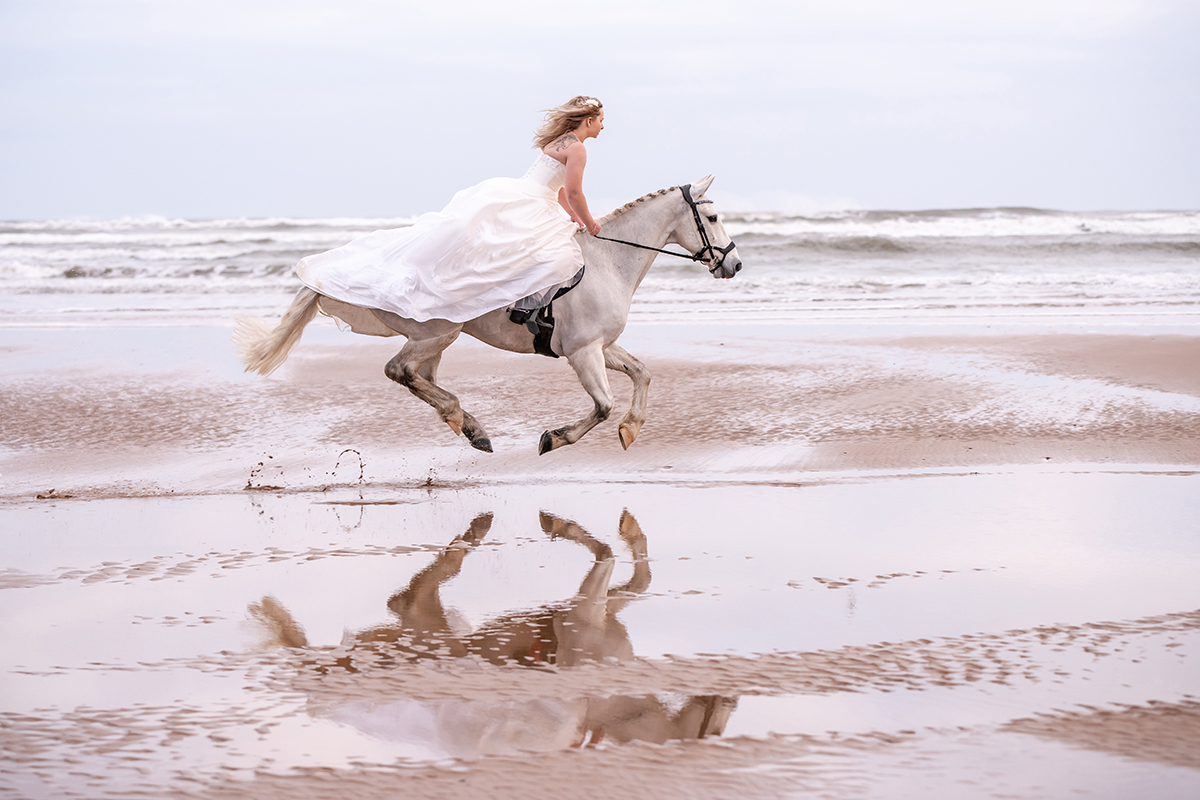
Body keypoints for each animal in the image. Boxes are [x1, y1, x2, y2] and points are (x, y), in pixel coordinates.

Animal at [232, 172, 739, 453]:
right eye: (713, 219)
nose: (732, 264)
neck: (607, 262)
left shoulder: (601, 346)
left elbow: (643, 373)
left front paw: (631, 430)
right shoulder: (582, 352)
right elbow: (601, 405)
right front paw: (554, 438)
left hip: (436, 341)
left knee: (420, 377)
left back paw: (468, 425)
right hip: (437, 333)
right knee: (399, 370)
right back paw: (467, 423)